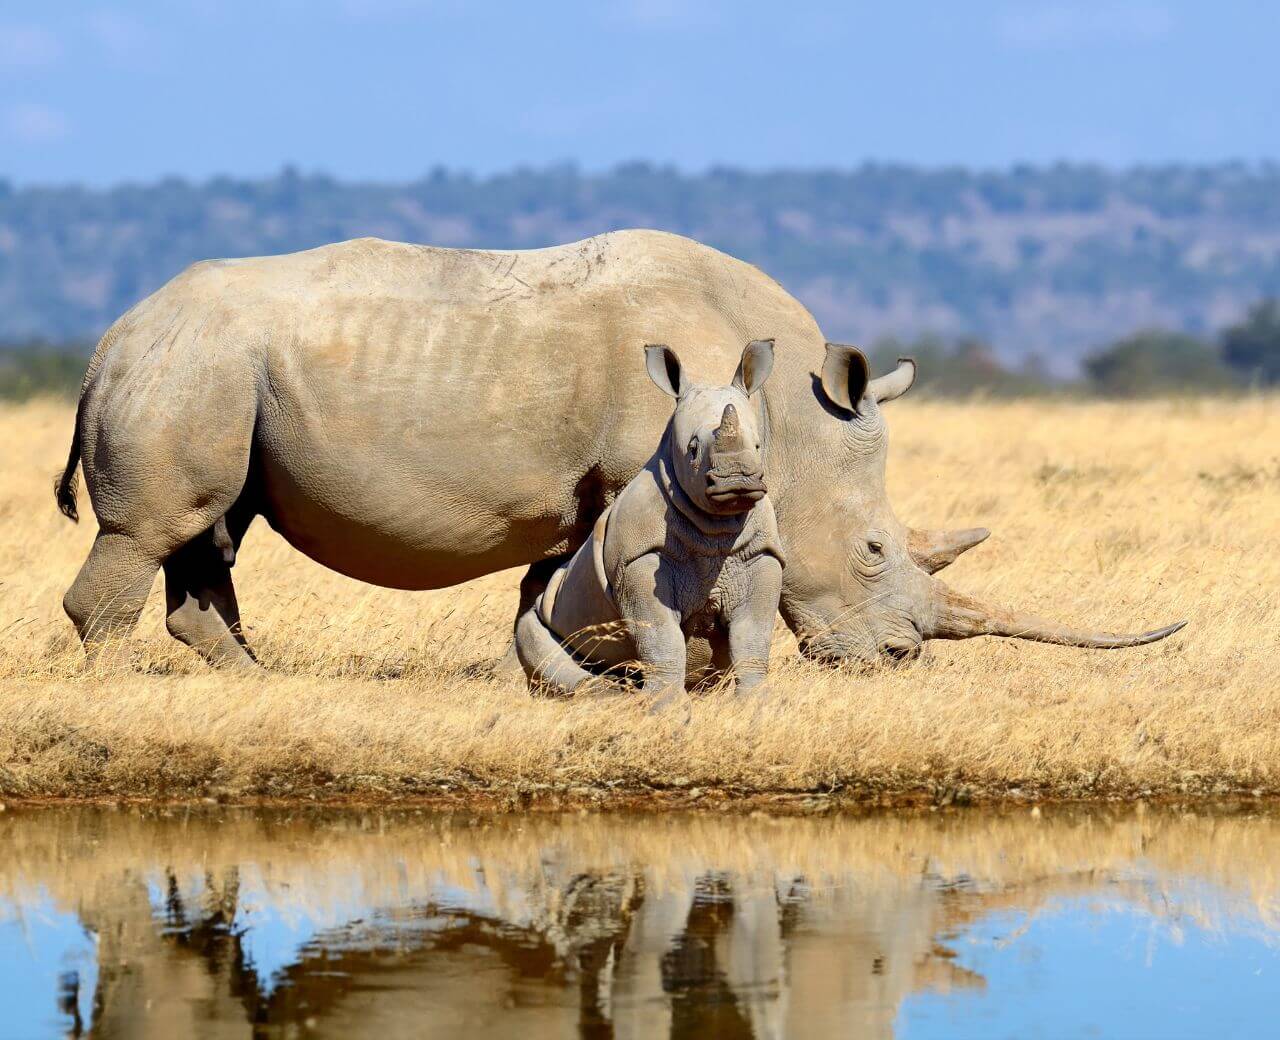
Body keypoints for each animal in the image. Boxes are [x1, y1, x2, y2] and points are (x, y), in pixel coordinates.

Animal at [516, 339, 784, 700]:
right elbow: (661, 637)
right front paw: (668, 706)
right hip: (546, 611)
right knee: (534, 637)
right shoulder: (637, 558)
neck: (718, 524)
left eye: (757, 446)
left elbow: (752, 636)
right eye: (692, 449)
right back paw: (612, 696)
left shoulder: (760, 554)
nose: (737, 482)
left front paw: (758, 702)